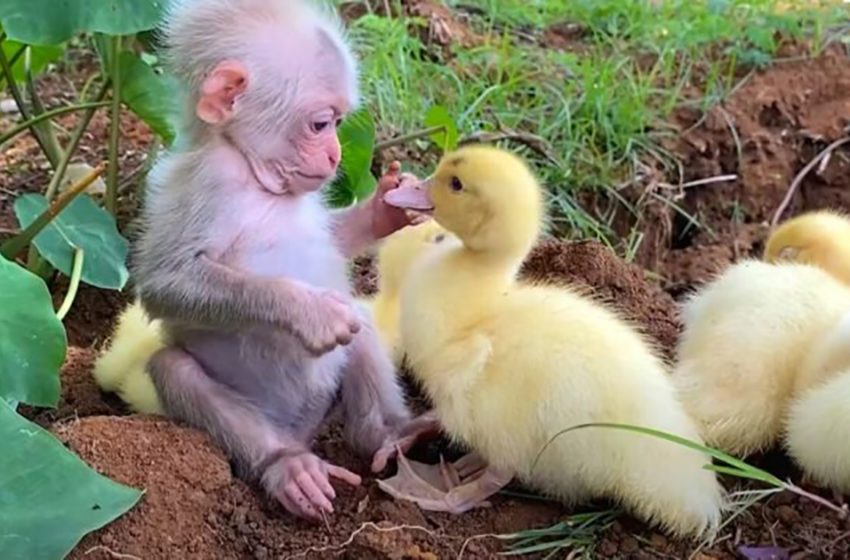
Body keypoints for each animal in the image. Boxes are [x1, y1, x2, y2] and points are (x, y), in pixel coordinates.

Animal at [136, 0, 428, 520]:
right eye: (320, 124)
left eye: (339, 125)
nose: (335, 156)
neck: (254, 175)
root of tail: (300, 428)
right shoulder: (207, 184)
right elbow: (165, 284)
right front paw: (307, 312)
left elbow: (333, 240)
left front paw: (385, 208)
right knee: (174, 368)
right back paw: (287, 466)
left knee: (360, 321)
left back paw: (390, 435)